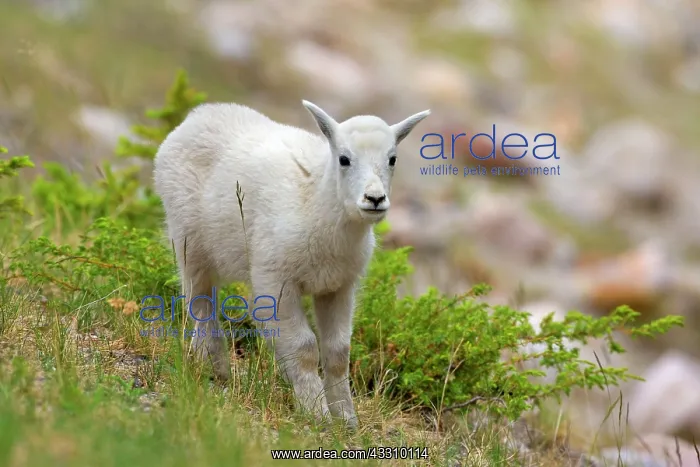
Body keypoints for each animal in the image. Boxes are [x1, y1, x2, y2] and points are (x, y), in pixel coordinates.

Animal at [153, 100, 430, 428]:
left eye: (392, 159)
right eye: (344, 159)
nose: (374, 198)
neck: (319, 204)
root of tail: (195, 117)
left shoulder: (338, 287)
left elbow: (338, 352)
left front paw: (346, 417)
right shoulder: (276, 280)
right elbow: (304, 346)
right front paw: (316, 411)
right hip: (189, 242)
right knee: (200, 303)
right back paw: (215, 366)